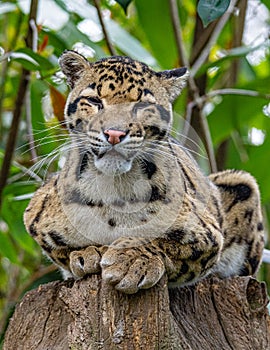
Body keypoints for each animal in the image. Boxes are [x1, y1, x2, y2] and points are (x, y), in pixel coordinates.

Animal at [23, 50, 264, 294]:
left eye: (140, 107)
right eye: (94, 101)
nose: (114, 133)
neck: (113, 187)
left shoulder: (208, 234)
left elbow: (164, 243)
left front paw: (132, 259)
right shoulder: (36, 214)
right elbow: (64, 250)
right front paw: (88, 253)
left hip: (242, 183)